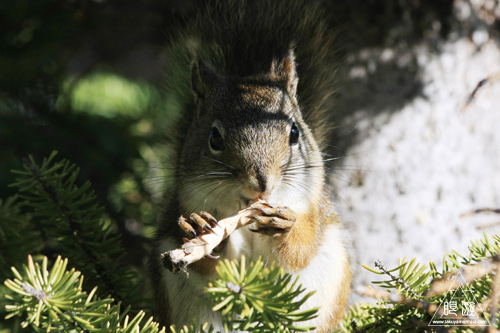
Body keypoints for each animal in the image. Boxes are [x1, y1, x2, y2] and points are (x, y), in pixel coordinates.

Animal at [148, 1, 352, 330]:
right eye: (214, 137)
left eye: (294, 133)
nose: (262, 181)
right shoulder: (187, 201)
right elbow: (215, 268)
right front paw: (202, 232)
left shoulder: (312, 209)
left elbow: (300, 251)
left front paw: (284, 227)